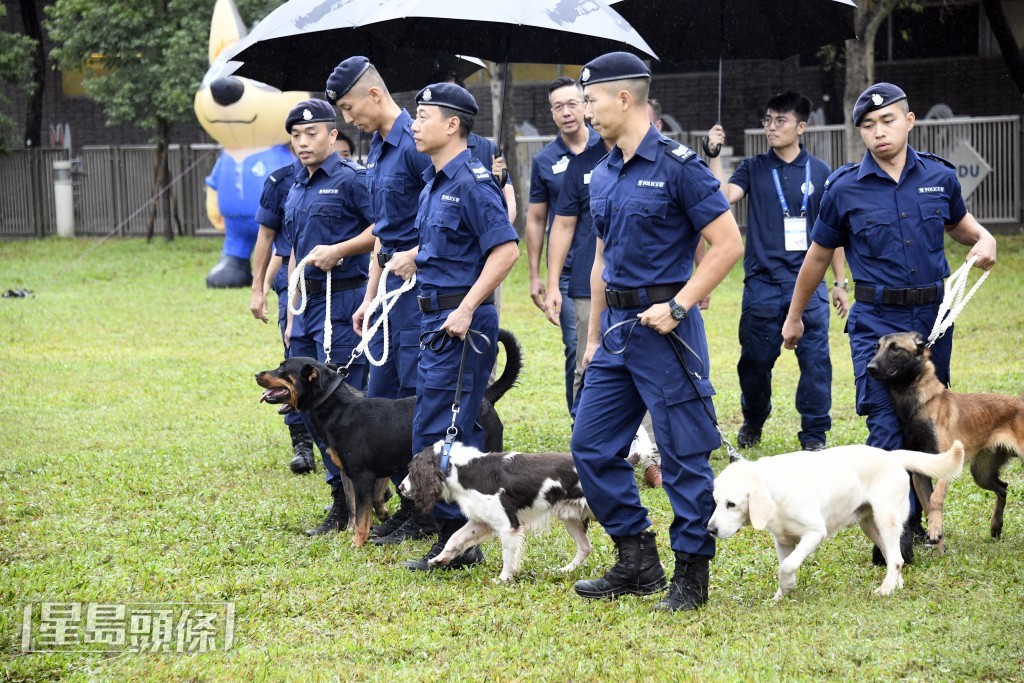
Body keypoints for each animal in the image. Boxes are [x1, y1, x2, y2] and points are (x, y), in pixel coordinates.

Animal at [252, 327, 524, 548]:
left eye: (282, 368)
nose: (256, 374)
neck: (335, 405)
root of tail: (486, 397)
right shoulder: (350, 474)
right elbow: (354, 508)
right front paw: (352, 533)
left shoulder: (363, 476)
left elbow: (363, 515)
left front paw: (357, 543)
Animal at [708, 444, 962, 598]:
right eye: (715, 502)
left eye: (732, 504)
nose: (710, 529)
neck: (774, 488)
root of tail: (892, 455)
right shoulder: (783, 541)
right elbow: (785, 565)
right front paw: (783, 592)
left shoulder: (814, 533)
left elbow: (788, 565)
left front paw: (786, 587)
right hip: (870, 525)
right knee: (892, 557)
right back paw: (895, 583)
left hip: (886, 519)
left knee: (897, 558)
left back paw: (886, 588)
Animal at [864, 327, 1024, 548]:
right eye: (876, 347)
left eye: (895, 348)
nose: (870, 368)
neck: (919, 406)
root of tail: (1020, 402)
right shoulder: (920, 473)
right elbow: (928, 504)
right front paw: (937, 541)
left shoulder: (945, 463)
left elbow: (935, 498)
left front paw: (935, 530)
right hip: (982, 473)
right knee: (1003, 488)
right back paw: (996, 526)